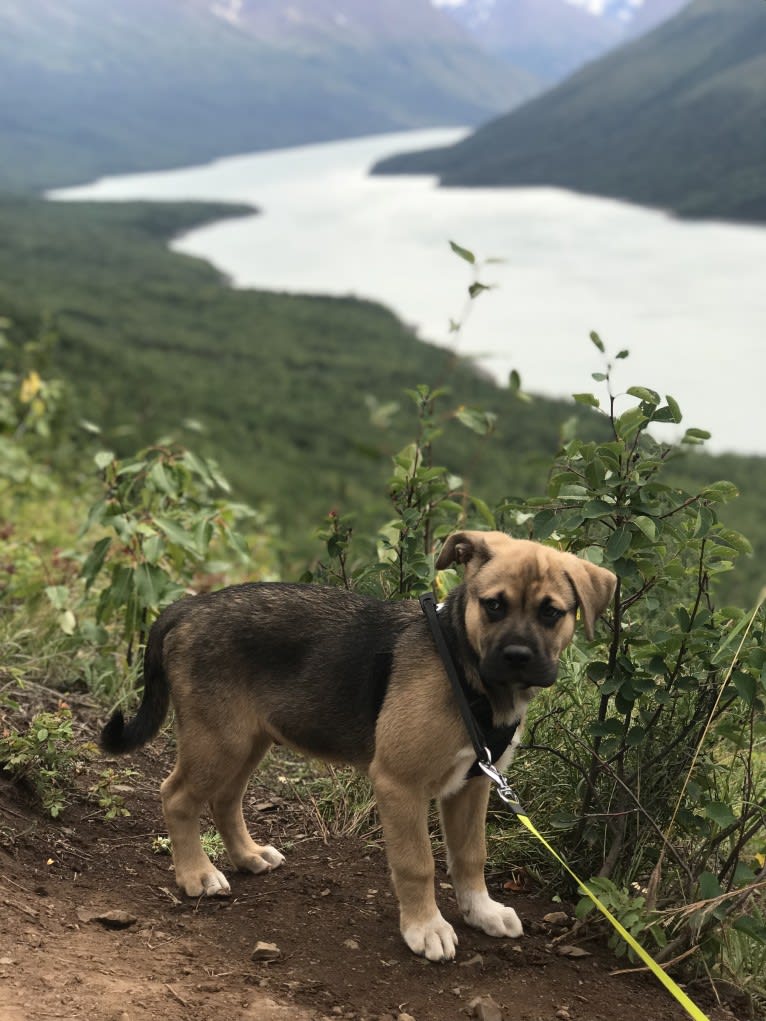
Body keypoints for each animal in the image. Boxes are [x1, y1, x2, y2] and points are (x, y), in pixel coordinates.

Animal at [102, 530, 616, 959]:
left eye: (551, 612)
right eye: (493, 606)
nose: (516, 657)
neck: (464, 667)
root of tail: (186, 609)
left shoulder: (474, 784)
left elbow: (471, 855)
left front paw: (481, 910)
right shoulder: (400, 784)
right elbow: (417, 863)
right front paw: (426, 927)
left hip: (248, 738)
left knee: (226, 798)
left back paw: (248, 856)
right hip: (218, 740)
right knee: (177, 796)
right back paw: (196, 874)